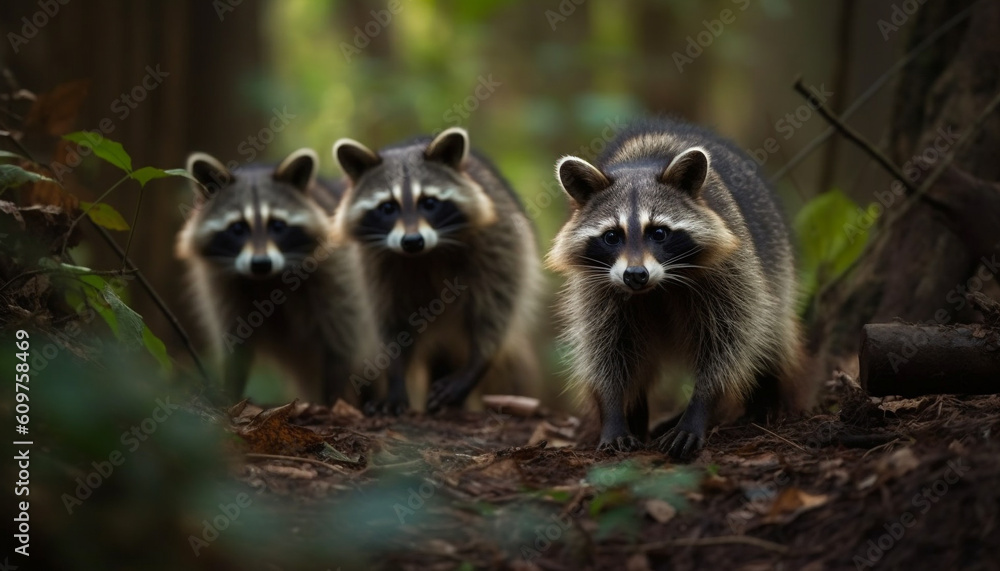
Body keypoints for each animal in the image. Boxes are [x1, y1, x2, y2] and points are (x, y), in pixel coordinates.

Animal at [176, 147, 378, 406]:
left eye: (277, 225)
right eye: (238, 228)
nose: (261, 263)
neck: (267, 279)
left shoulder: (337, 271)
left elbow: (341, 342)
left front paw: (331, 401)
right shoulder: (220, 283)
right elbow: (236, 341)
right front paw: (230, 393)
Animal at [330, 128, 540, 416]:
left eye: (429, 202)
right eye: (388, 207)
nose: (412, 241)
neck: (424, 255)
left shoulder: (498, 240)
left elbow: (496, 306)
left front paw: (478, 362)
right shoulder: (374, 264)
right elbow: (391, 321)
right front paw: (395, 379)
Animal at [548, 119, 812, 460]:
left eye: (659, 233)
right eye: (612, 236)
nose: (635, 275)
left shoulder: (731, 269)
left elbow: (729, 340)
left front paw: (700, 407)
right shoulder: (596, 286)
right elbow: (606, 348)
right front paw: (614, 410)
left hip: (777, 265)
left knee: (771, 334)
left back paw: (766, 395)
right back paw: (636, 414)